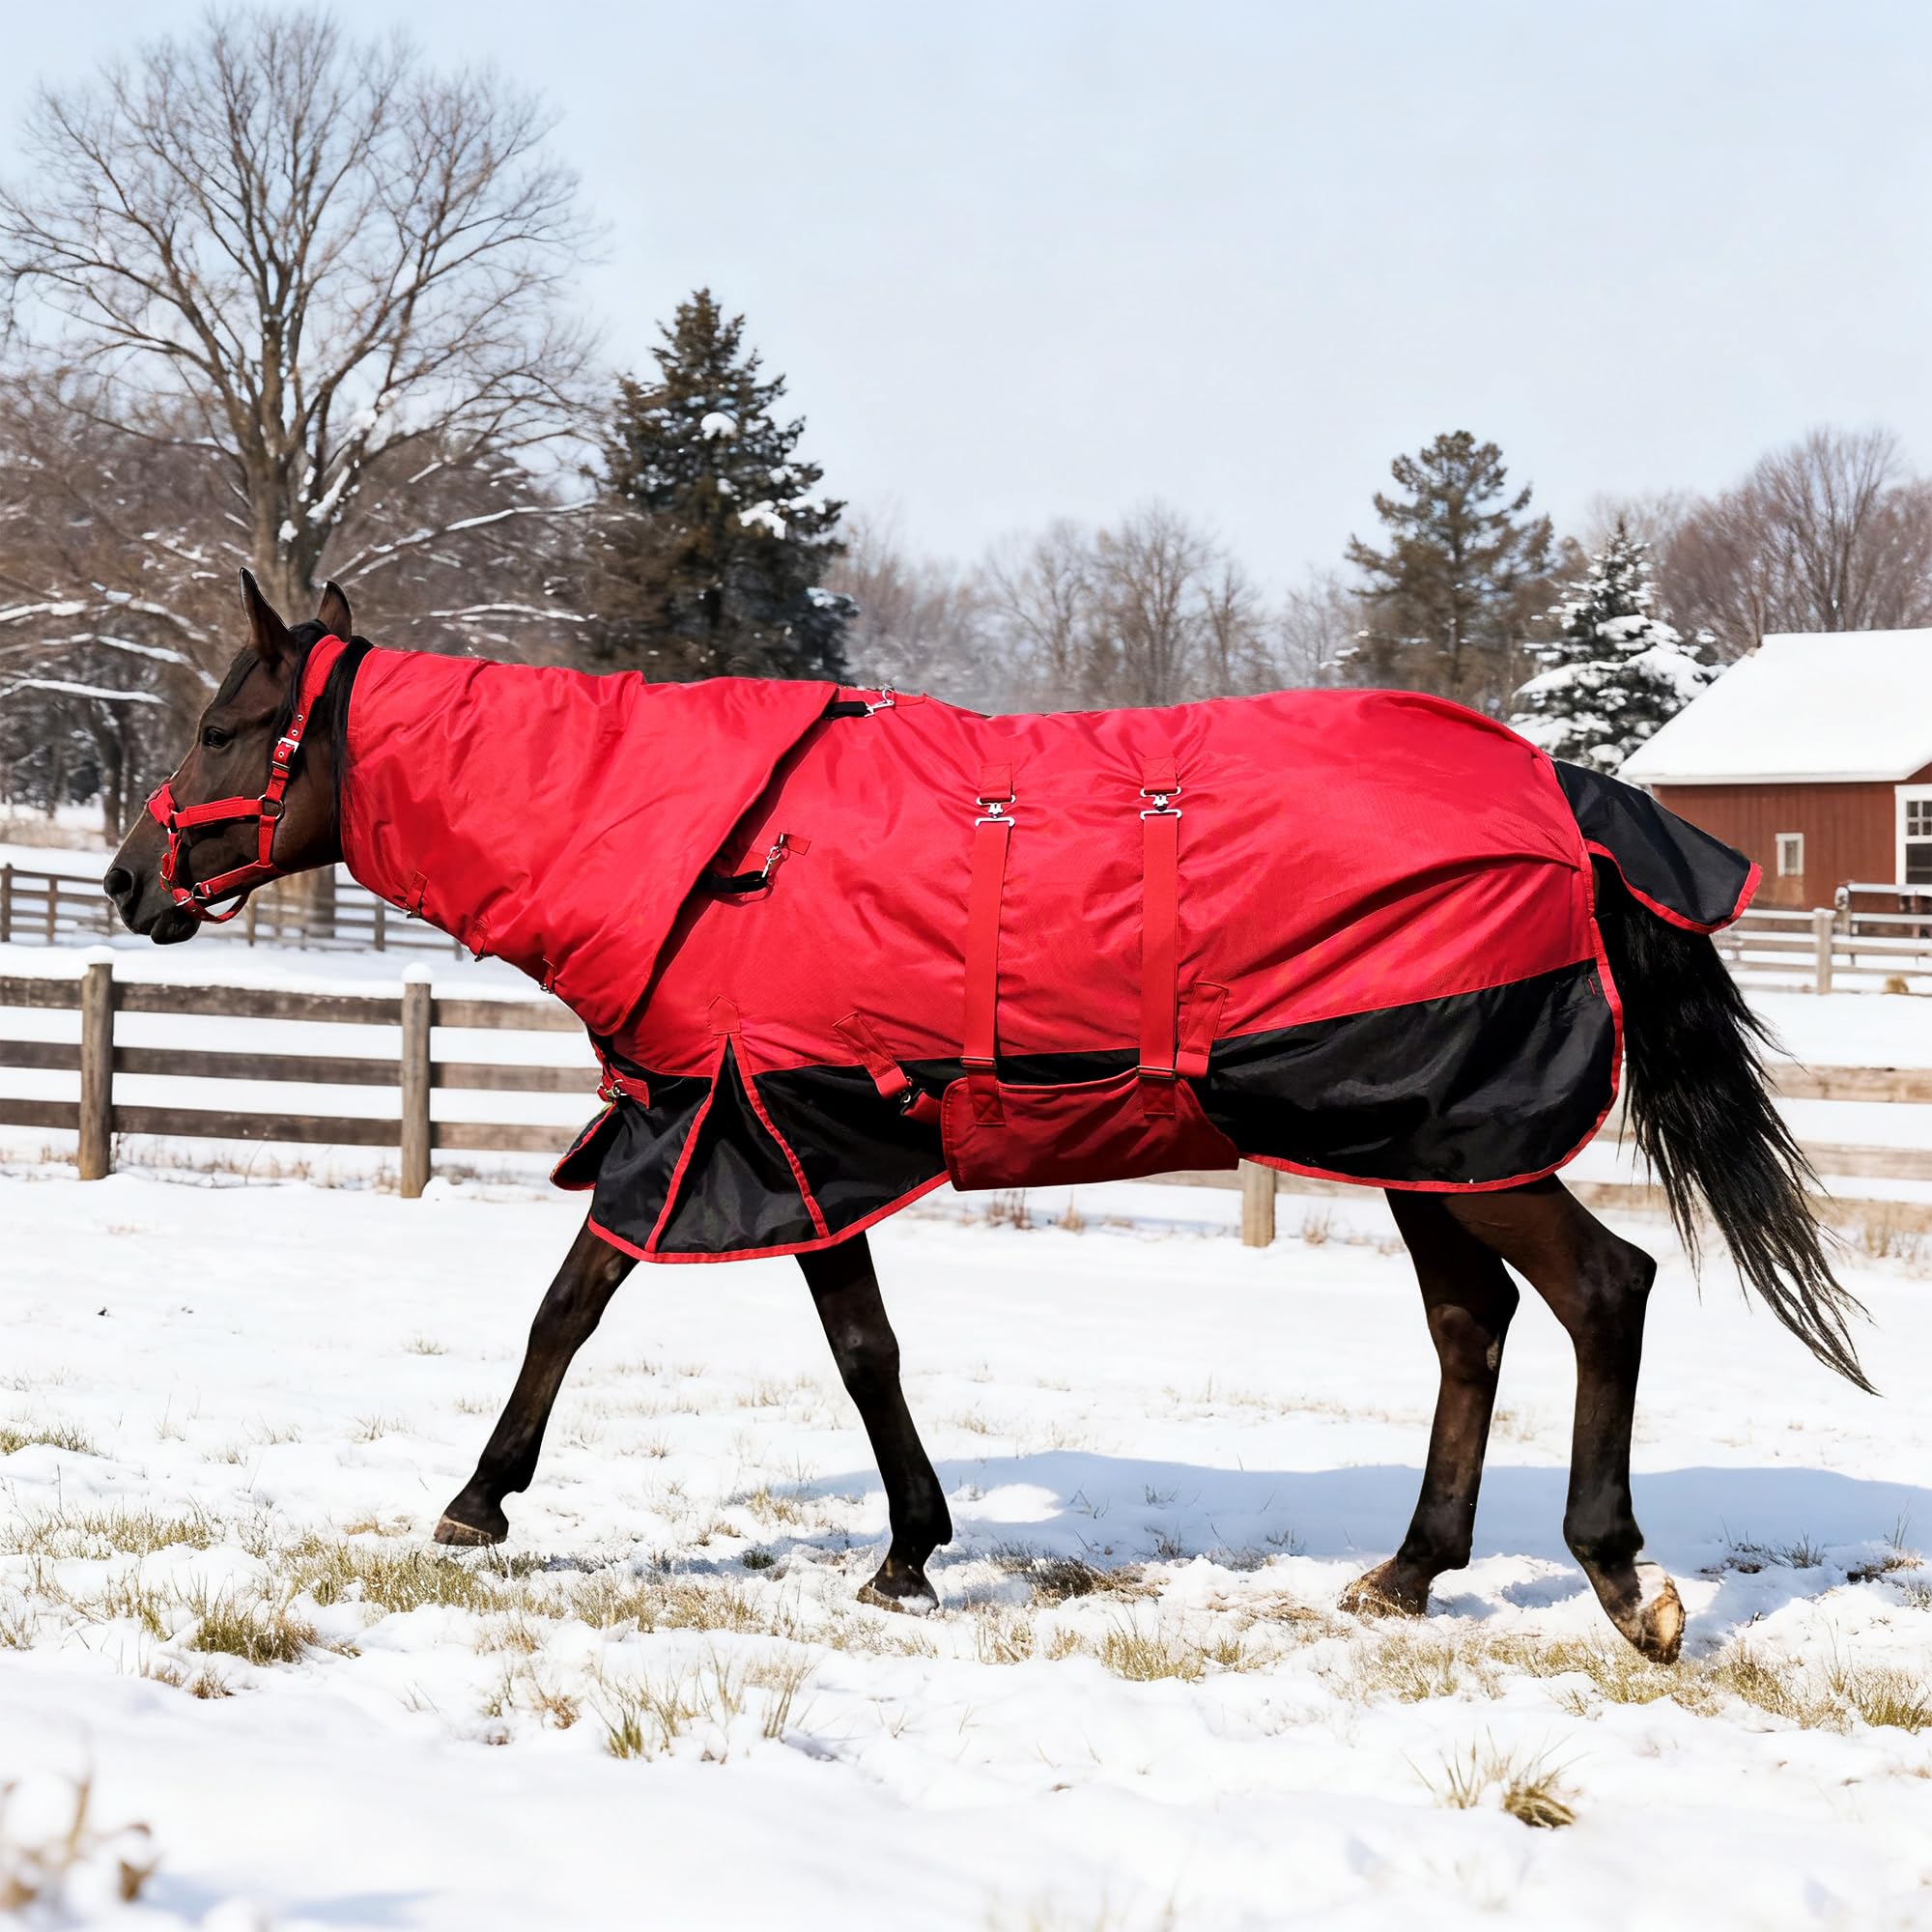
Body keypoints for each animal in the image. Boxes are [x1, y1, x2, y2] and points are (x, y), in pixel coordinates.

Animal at [104, 572, 1871, 1664]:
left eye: (219, 726)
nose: (128, 884)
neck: (714, 853)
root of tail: (1564, 795)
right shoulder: (790, 1145)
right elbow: (857, 1348)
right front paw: (907, 1546)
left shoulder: (746, 1134)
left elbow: (582, 1312)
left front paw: (479, 1501)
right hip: (1419, 1145)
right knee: (1473, 1330)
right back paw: (1409, 1569)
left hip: (1458, 1143)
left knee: (1601, 1295)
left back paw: (1624, 1583)